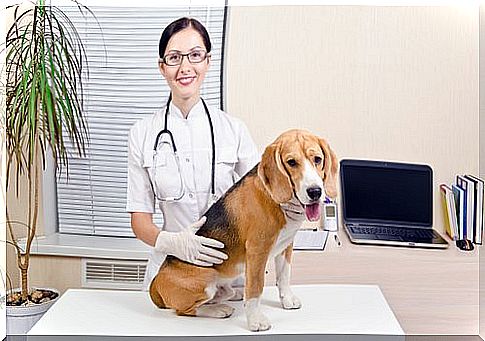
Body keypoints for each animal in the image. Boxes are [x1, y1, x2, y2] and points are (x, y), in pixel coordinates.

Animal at [149, 127, 338, 330]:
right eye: (291, 162)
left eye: (317, 159)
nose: (315, 192)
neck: (274, 199)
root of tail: (155, 284)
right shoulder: (257, 251)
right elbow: (256, 287)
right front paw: (255, 320)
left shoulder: (286, 245)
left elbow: (284, 275)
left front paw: (287, 299)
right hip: (205, 279)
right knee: (185, 310)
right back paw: (218, 309)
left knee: (224, 293)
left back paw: (233, 295)